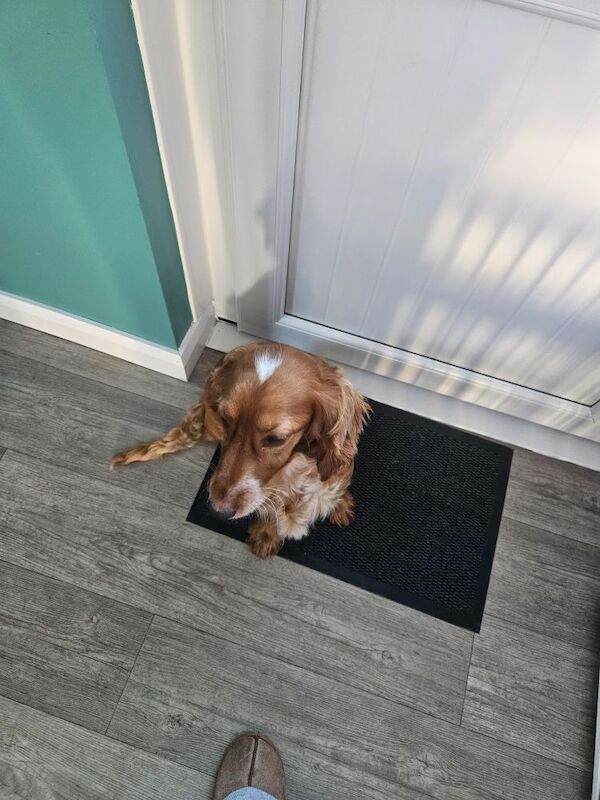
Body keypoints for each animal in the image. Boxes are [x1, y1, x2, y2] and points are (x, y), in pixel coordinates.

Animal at [110, 342, 368, 556]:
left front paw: (341, 506)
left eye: (276, 439)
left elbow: (335, 491)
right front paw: (266, 535)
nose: (218, 511)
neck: (293, 473)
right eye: (225, 419)